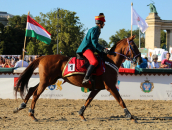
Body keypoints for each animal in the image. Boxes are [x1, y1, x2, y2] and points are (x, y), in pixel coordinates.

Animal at [13, 35, 142, 122]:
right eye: (134, 46)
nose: (140, 60)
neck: (109, 62)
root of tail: (43, 57)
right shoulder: (110, 87)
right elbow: (121, 101)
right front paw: (131, 116)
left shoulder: (97, 88)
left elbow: (88, 101)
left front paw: (81, 114)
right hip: (46, 81)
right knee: (35, 94)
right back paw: (32, 114)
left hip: (48, 80)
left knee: (31, 89)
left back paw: (21, 107)